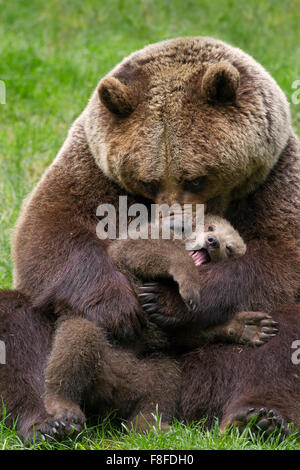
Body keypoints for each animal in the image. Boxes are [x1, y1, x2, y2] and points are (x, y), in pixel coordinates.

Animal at [0, 37, 300, 440]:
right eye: (148, 181)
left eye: (196, 178)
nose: (174, 222)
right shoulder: (91, 166)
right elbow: (50, 230)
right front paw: (120, 306)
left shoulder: (276, 177)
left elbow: (278, 257)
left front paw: (169, 300)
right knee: (18, 326)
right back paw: (48, 421)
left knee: (279, 341)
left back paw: (258, 415)